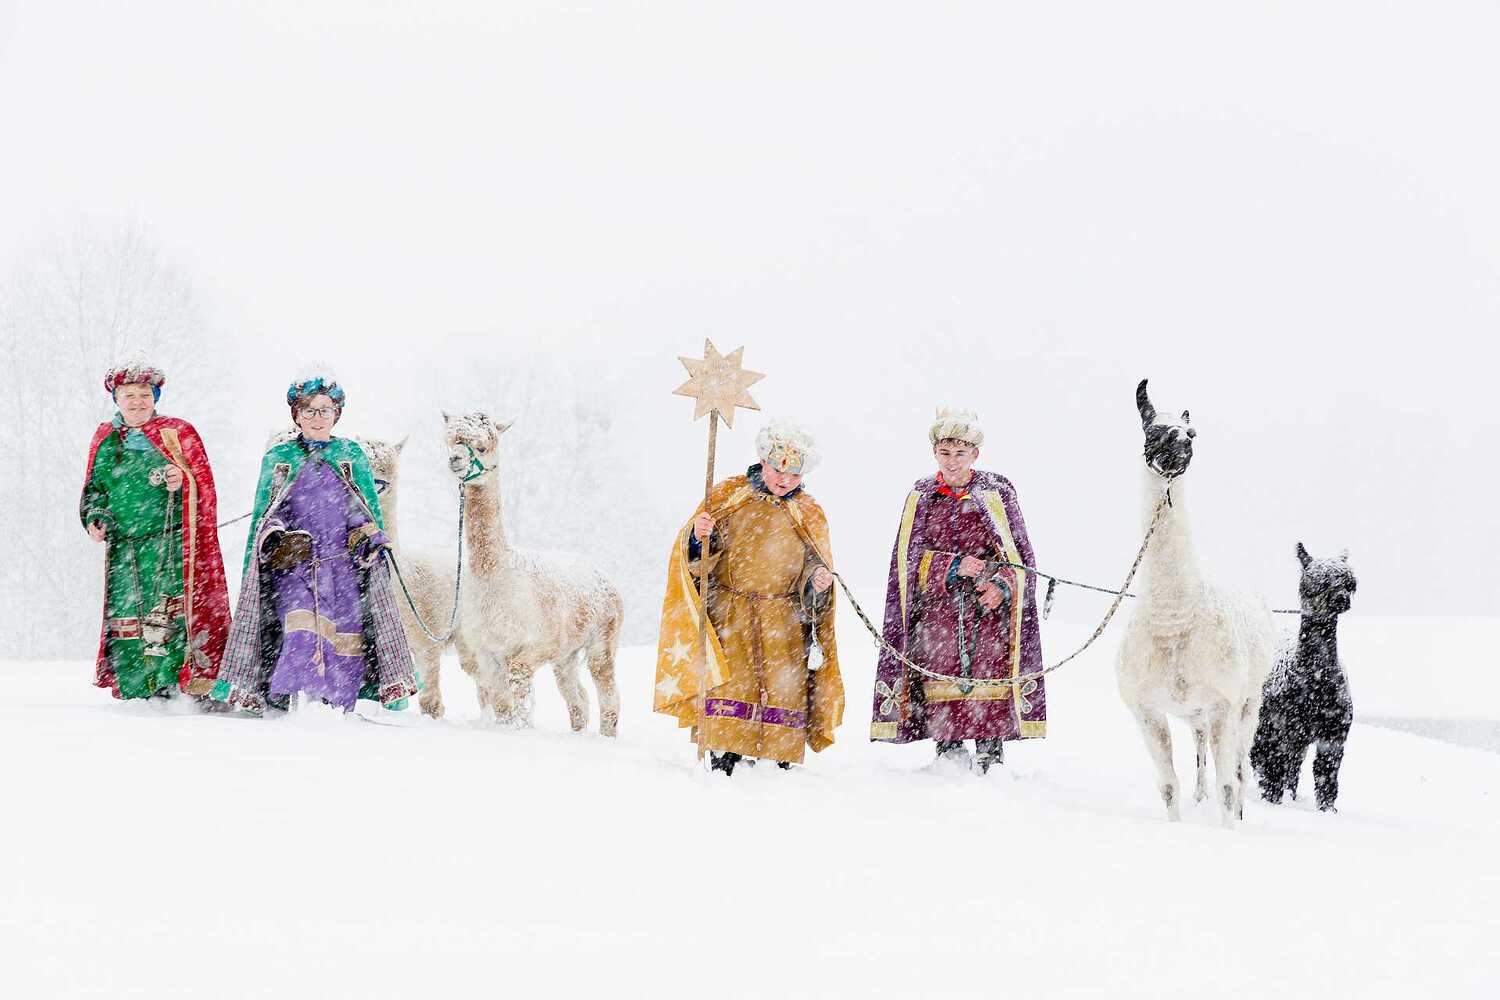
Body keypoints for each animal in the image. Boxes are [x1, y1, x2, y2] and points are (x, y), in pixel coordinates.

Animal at [1115, 380, 1275, 828]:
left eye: (1191, 431)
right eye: (1152, 429)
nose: (1183, 445)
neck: (1175, 620)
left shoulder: (1224, 702)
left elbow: (1229, 785)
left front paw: (1228, 829)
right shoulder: (1146, 709)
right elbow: (1168, 785)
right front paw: (1177, 825)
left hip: (1249, 701)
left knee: (1238, 768)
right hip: (1193, 711)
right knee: (1200, 745)